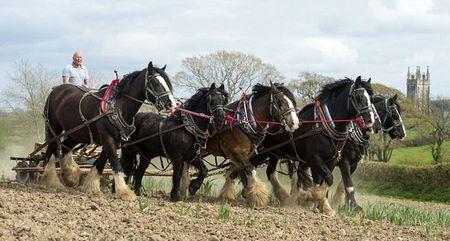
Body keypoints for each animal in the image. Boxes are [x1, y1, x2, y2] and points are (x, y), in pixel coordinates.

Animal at [43, 61, 175, 200]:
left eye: (167, 83)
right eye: (155, 83)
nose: (171, 104)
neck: (117, 106)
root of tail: (56, 90)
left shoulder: (113, 141)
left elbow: (100, 163)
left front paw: (92, 187)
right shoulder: (107, 139)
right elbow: (115, 163)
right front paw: (125, 192)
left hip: (76, 132)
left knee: (64, 147)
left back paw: (70, 175)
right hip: (54, 127)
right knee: (51, 151)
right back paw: (51, 180)